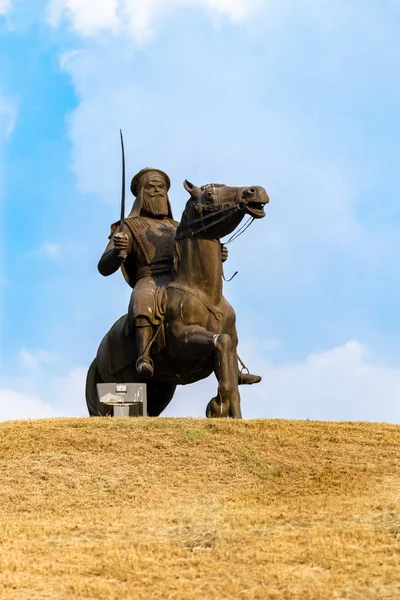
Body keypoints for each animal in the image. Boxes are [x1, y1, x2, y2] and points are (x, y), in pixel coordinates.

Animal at [86, 180, 268, 420]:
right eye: (209, 195)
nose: (255, 191)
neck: (206, 293)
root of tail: (100, 351)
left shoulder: (230, 342)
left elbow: (230, 370)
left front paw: (230, 413)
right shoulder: (183, 339)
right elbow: (222, 342)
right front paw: (218, 405)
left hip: (160, 389)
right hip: (125, 380)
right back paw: (143, 365)